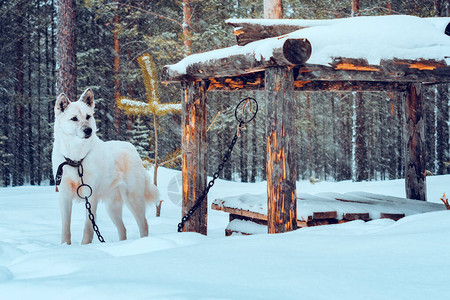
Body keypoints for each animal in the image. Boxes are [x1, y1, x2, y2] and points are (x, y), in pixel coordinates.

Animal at [52, 88, 159, 245]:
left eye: (88, 116)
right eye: (74, 118)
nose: (88, 130)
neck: (77, 159)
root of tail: (131, 148)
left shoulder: (90, 196)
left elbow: (88, 227)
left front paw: (85, 246)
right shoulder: (64, 195)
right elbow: (66, 227)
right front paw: (65, 245)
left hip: (133, 199)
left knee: (144, 224)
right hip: (112, 207)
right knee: (123, 229)